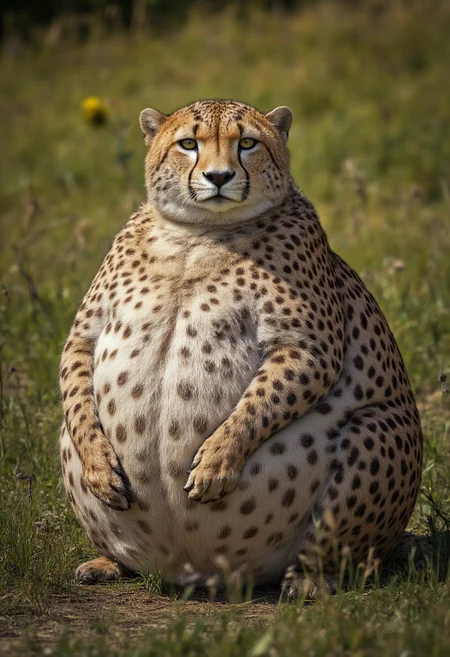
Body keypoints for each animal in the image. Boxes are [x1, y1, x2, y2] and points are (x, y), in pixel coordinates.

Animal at [59, 99, 429, 599]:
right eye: (188, 143)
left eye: (247, 143)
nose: (218, 176)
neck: (198, 235)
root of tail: (191, 573)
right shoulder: (85, 333)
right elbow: (77, 387)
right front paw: (100, 466)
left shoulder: (308, 346)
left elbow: (257, 405)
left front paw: (216, 462)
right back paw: (107, 563)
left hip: (379, 427)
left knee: (345, 554)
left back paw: (312, 580)